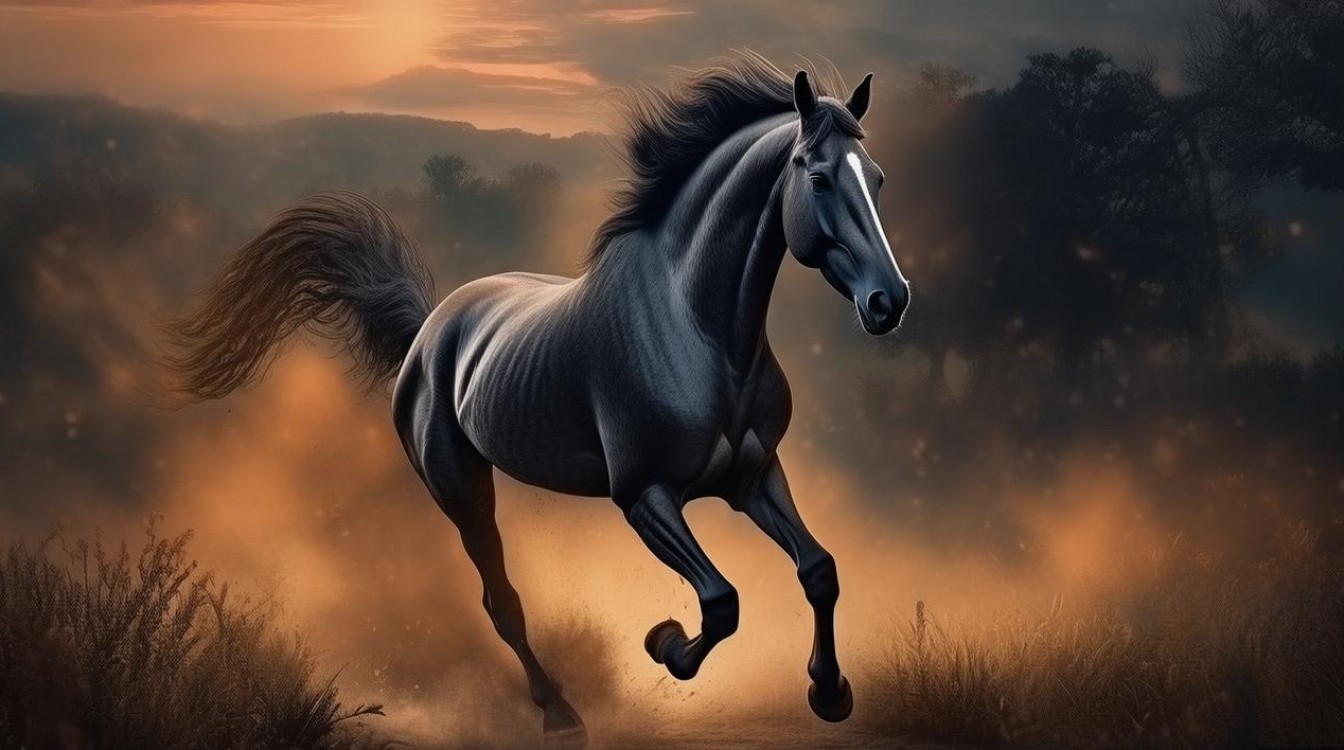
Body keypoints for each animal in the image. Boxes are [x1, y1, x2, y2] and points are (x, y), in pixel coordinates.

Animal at [170, 52, 910, 744]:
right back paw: (560, 714)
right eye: (818, 177)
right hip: (462, 491)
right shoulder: (644, 496)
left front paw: (830, 692)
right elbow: (720, 601)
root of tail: (430, 330)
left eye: (877, 178)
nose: (889, 301)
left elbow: (819, 569)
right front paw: (664, 644)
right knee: (502, 602)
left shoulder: (753, 476)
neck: (697, 328)